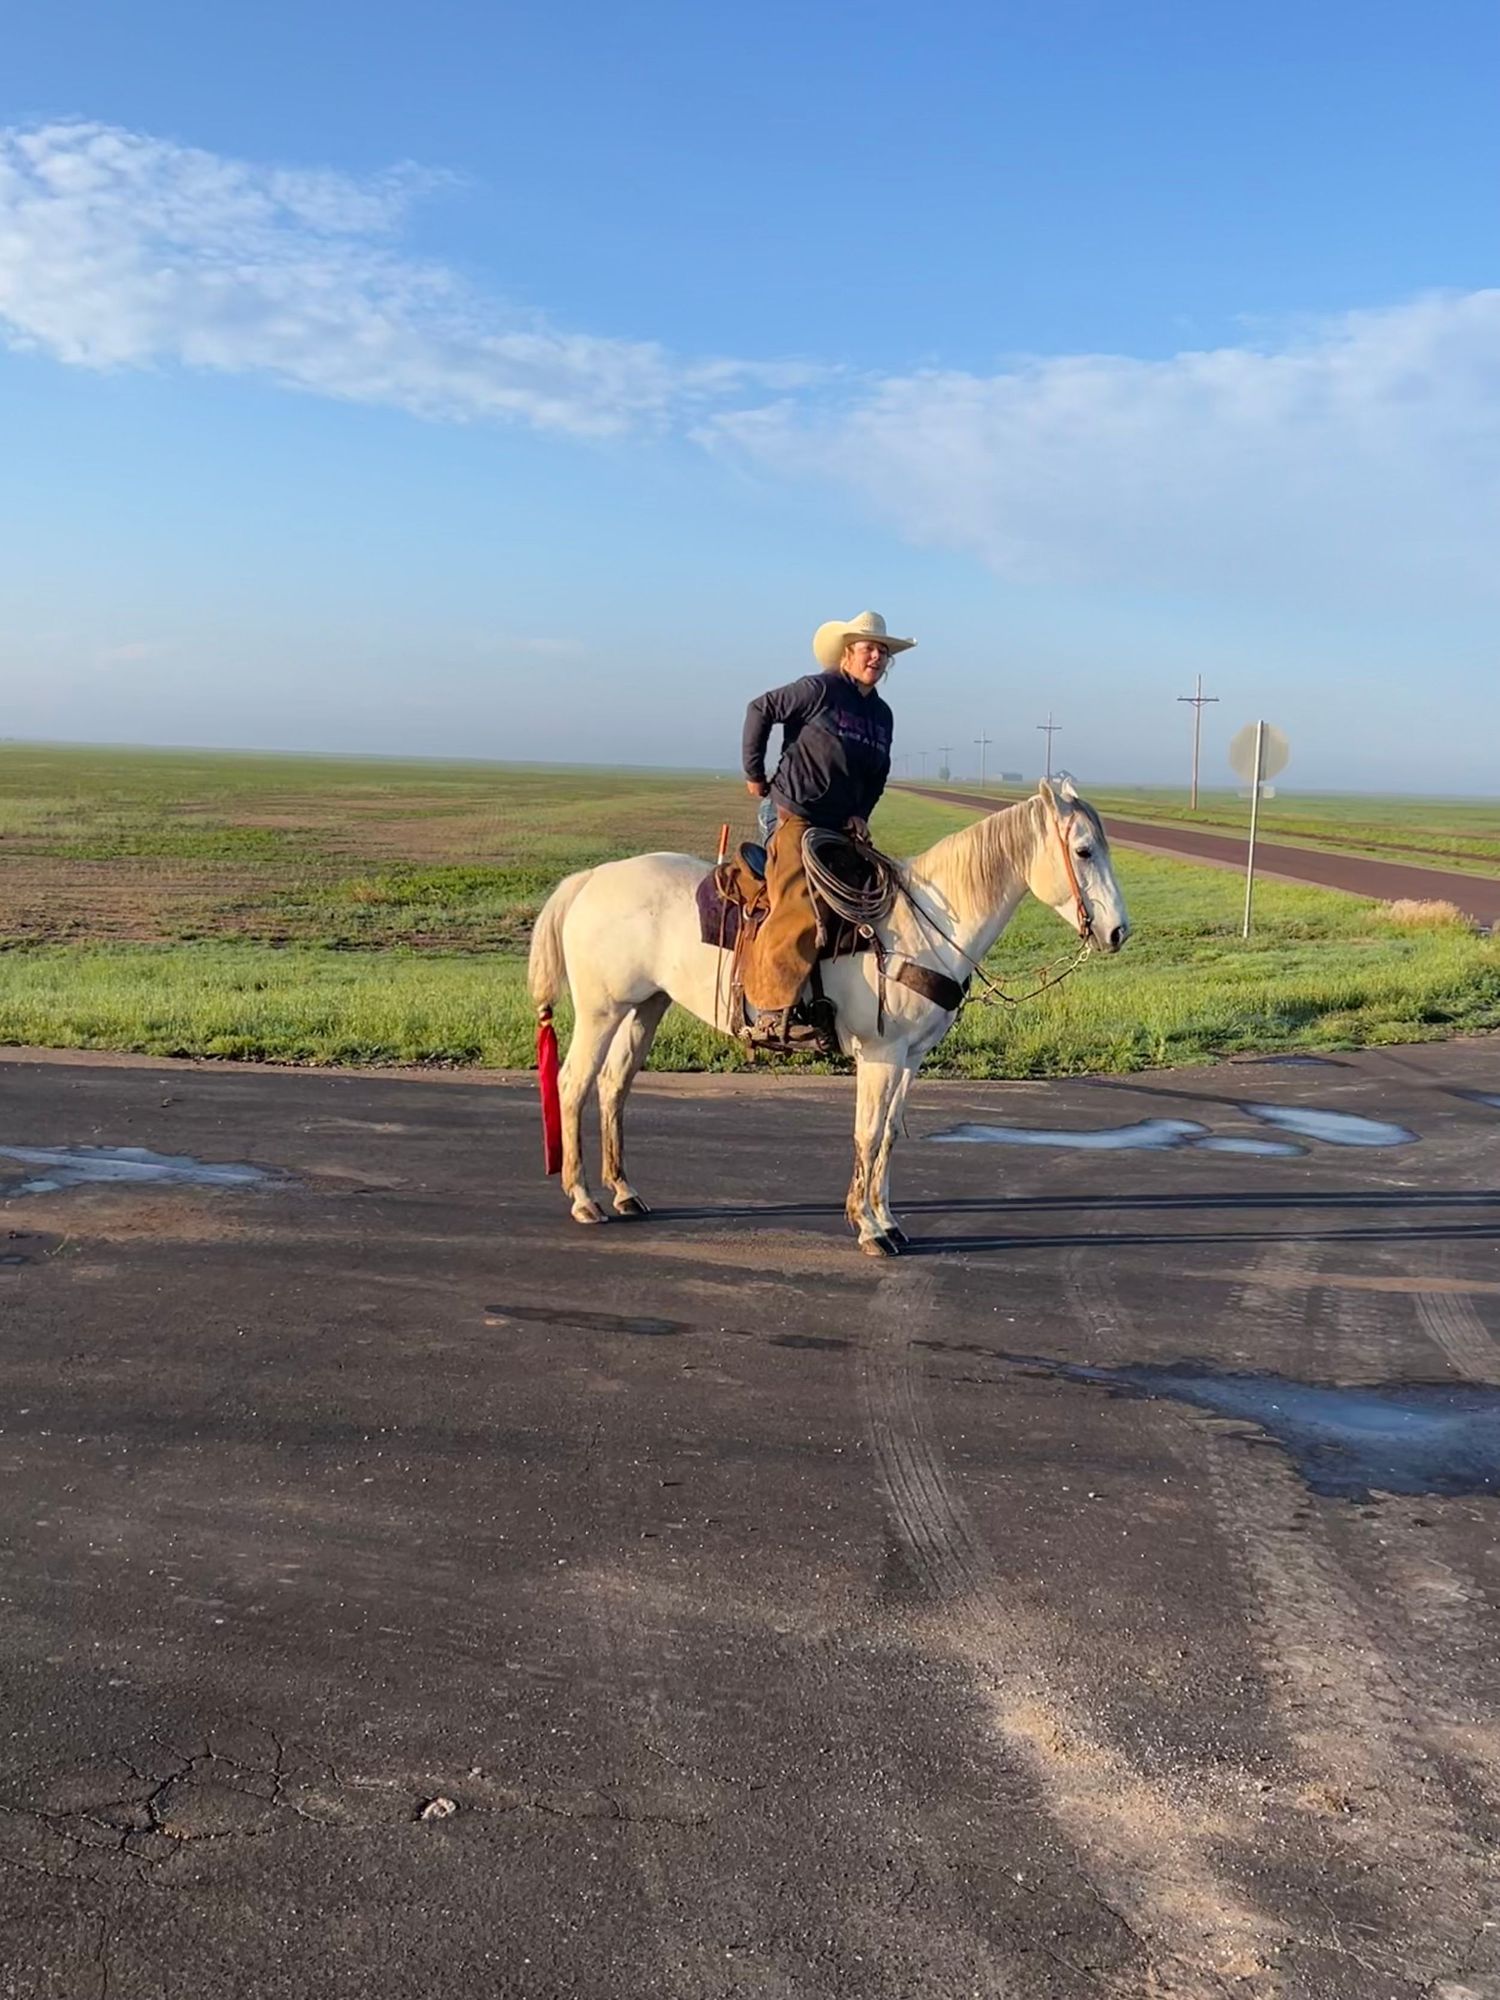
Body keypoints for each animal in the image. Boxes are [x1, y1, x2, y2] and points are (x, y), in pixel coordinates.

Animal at [525, 777, 1129, 1255]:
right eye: (1082, 851)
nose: (1118, 932)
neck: (923, 927)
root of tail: (591, 878)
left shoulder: (910, 1058)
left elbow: (889, 1134)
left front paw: (887, 1219)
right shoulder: (881, 1054)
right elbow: (868, 1132)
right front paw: (868, 1228)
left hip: (645, 1006)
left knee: (614, 1085)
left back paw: (625, 1193)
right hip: (602, 1010)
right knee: (574, 1084)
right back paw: (584, 1199)